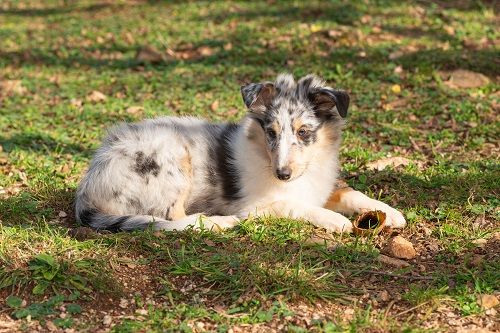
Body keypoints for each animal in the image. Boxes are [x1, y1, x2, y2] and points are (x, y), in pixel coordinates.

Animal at [75, 73, 406, 232]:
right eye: (271, 132)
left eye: (303, 132)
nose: (282, 174)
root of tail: (89, 186)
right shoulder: (253, 206)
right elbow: (292, 205)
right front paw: (333, 220)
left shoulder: (317, 186)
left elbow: (349, 191)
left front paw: (389, 212)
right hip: (171, 158)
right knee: (171, 219)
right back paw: (217, 223)